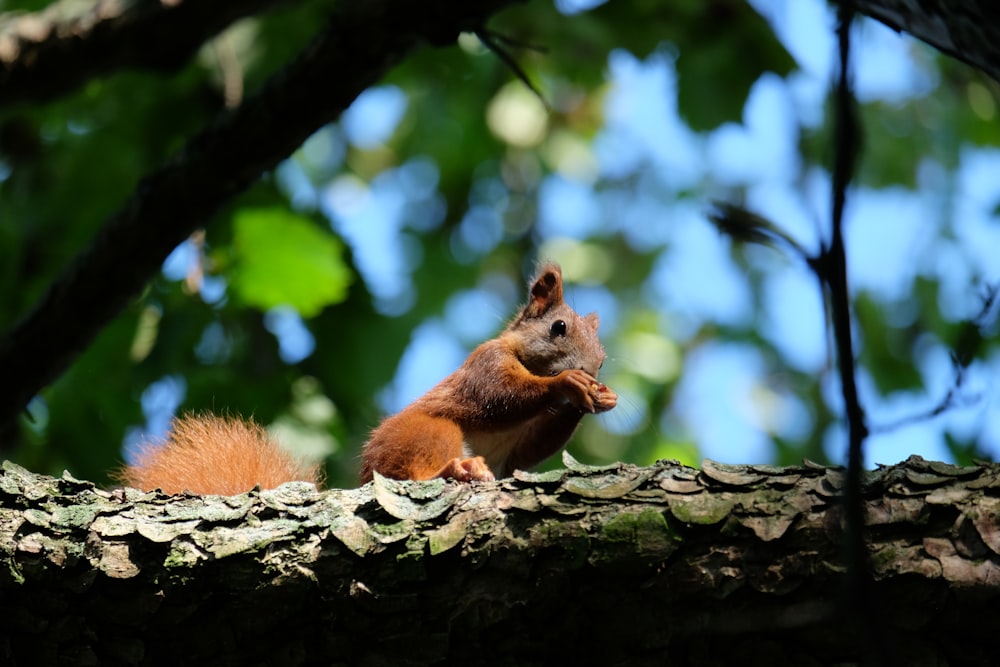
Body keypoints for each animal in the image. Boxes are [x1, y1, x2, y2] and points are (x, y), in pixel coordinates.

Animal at [120, 262, 612, 496]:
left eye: (605, 359)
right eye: (558, 328)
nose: (592, 370)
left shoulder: (518, 450)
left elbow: (531, 448)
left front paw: (597, 398)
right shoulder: (484, 366)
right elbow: (502, 397)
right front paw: (567, 385)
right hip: (424, 432)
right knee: (415, 472)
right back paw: (456, 468)